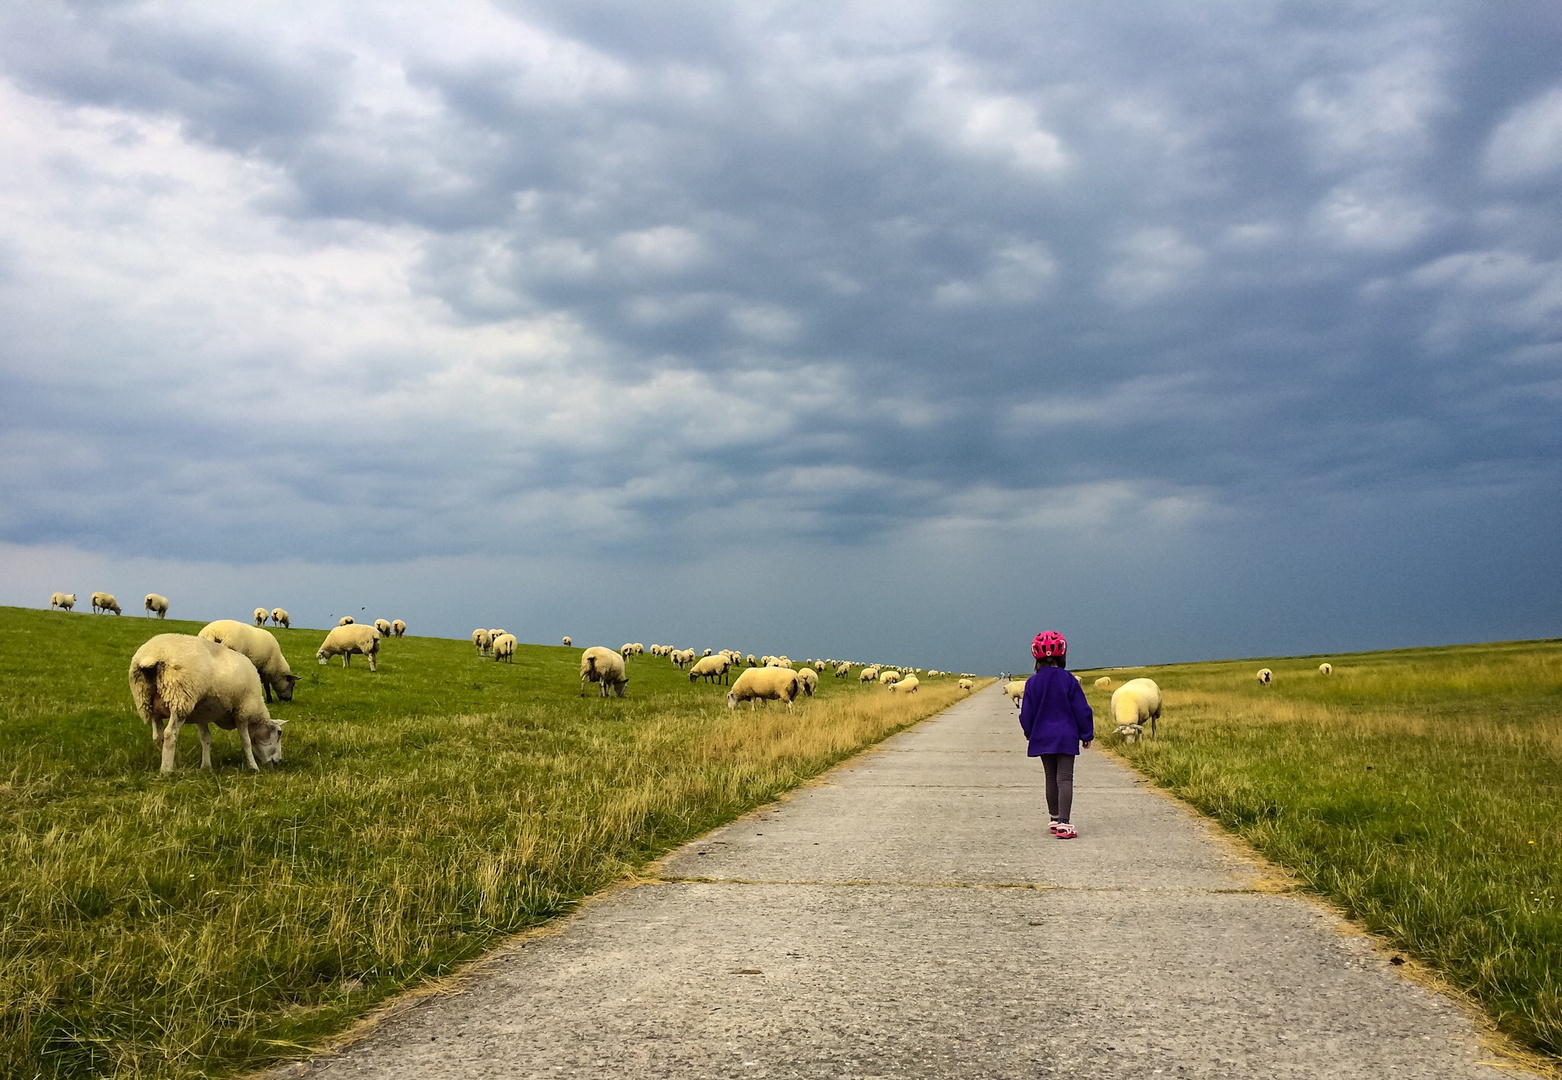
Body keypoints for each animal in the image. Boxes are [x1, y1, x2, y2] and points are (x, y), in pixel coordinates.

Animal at [128, 634, 287, 778]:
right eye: (279, 733)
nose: (279, 761)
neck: (256, 713)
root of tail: (151, 655)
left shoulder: (201, 714)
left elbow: (205, 738)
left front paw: (206, 766)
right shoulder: (242, 711)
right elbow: (246, 741)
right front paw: (253, 767)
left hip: (148, 702)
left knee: (157, 736)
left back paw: (172, 761)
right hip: (180, 698)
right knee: (169, 734)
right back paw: (167, 770)